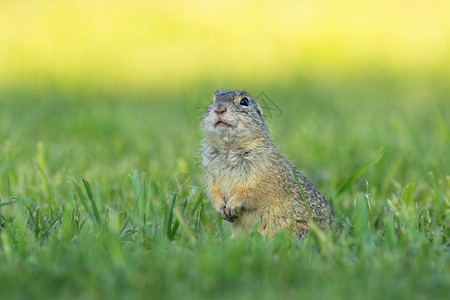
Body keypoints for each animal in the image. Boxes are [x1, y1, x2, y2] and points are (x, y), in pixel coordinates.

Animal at [200, 89, 334, 239]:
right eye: (213, 99)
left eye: (244, 101)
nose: (219, 108)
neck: (228, 149)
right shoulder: (209, 174)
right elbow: (212, 190)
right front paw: (220, 208)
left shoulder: (264, 173)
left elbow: (252, 191)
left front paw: (232, 206)